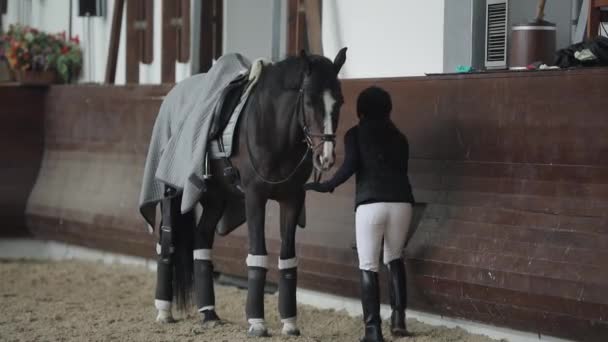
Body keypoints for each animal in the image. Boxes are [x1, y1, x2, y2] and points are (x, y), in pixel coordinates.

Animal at [151, 47, 346, 336]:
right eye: (310, 101)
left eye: (340, 102)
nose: (326, 157)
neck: (272, 127)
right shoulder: (255, 197)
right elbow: (258, 255)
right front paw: (257, 322)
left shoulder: (292, 199)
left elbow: (288, 259)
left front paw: (290, 324)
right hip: (172, 193)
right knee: (167, 242)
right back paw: (164, 310)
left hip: (216, 198)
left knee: (201, 241)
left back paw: (209, 313)